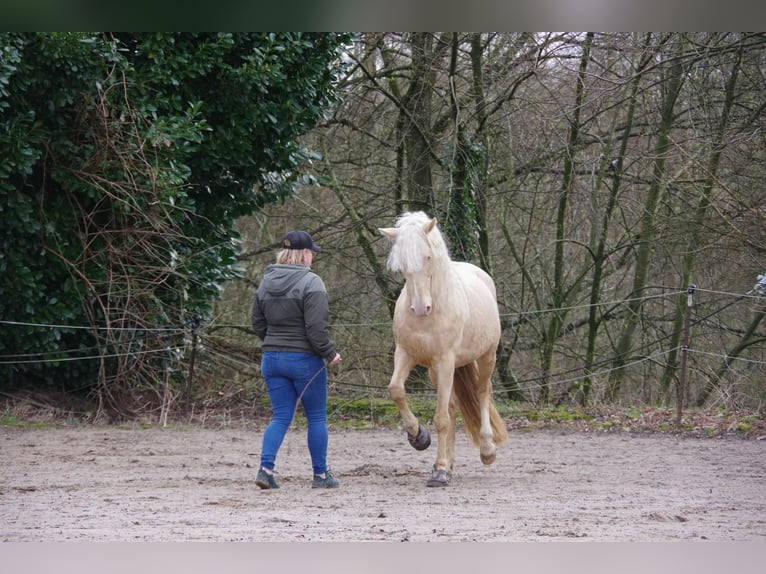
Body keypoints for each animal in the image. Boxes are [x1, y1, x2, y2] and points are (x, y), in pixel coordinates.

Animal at [380, 212, 510, 486]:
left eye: (428, 257)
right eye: (402, 265)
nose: (420, 308)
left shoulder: (446, 360)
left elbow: (441, 418)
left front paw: (439, 471)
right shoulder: (406, 354)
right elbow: (396, 390)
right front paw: (418, 437)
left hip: (486, 357)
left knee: (482, 393)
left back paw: (486, 450)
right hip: (437, 370)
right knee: (450, 406)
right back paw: (449, 464)